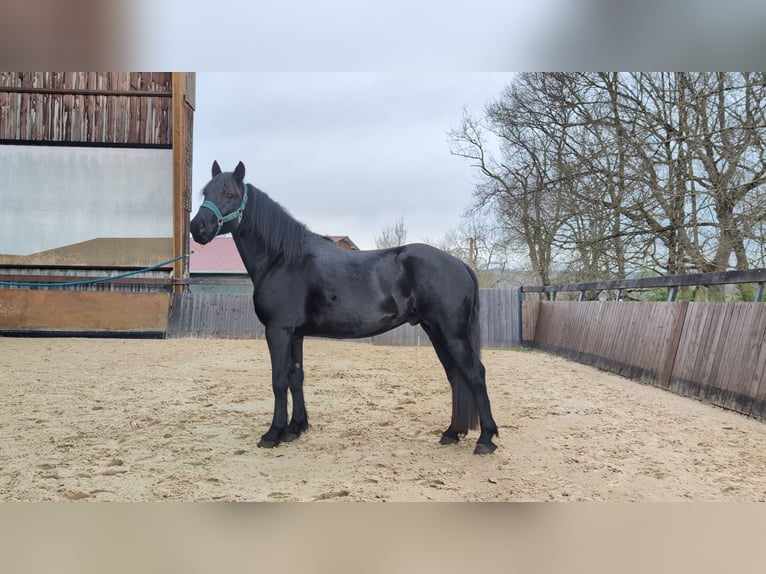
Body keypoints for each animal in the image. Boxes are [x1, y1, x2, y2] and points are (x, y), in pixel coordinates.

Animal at [190, 161, 499, 454]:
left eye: (230, 194)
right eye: (206, 193)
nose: (197, 228)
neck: (282, 259)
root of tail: (460, 265)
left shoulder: (278, 330)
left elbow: (278, 380)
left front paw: (273, 434)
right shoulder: (295, 333)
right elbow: (296, 376)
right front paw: (295, 428)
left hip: (452, 334)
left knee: (475, 374)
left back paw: (485, 439)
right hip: (435, 332)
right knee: (455, 376)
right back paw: (452, 433)